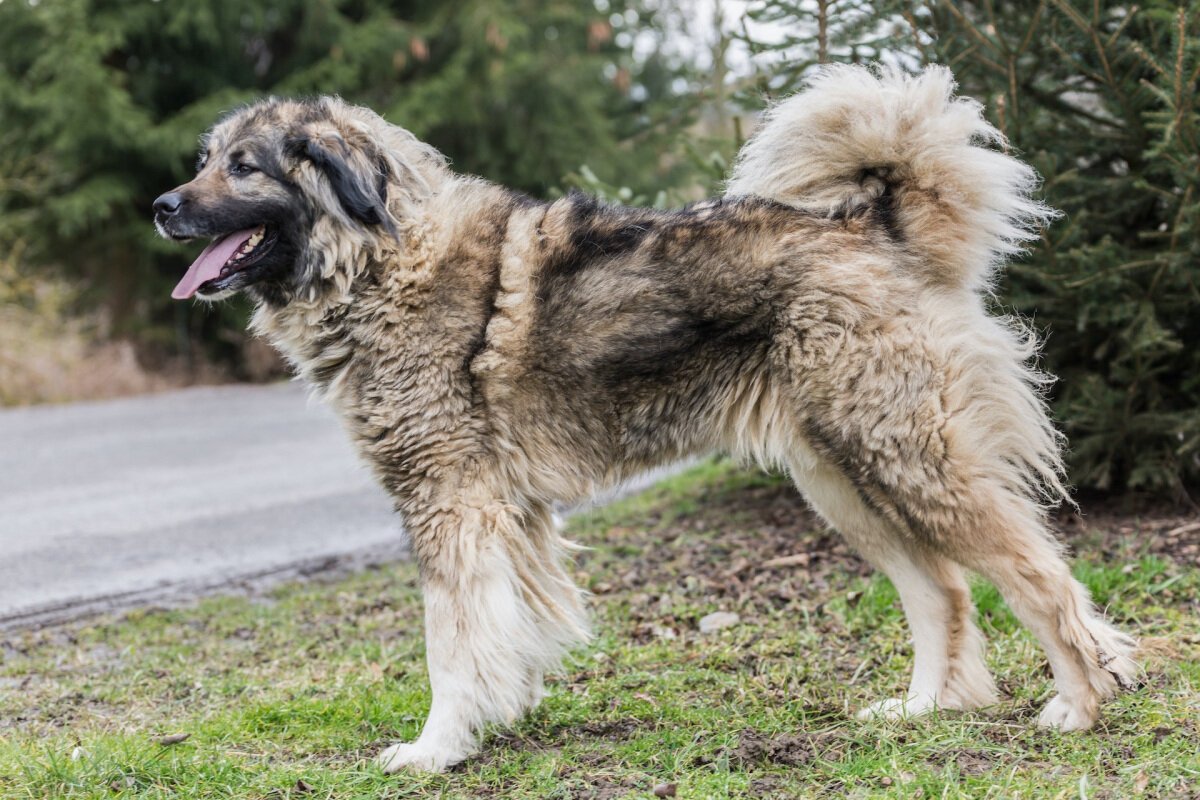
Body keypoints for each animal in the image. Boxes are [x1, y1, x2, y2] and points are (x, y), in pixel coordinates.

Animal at [154, 65, 1137, 772]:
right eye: (206, 160)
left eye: (243, 167)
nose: (162, 206)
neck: (378, 259)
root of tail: (874, 224)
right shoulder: (507, 513)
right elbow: (508, 628)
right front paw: (499, 718)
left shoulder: (450, 503)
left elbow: (451, 642)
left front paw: (437, 748)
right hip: (843, 481)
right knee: (944, 591)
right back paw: (926, 706)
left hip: (907, 463)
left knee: (1037, 576)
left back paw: (1081, 705)